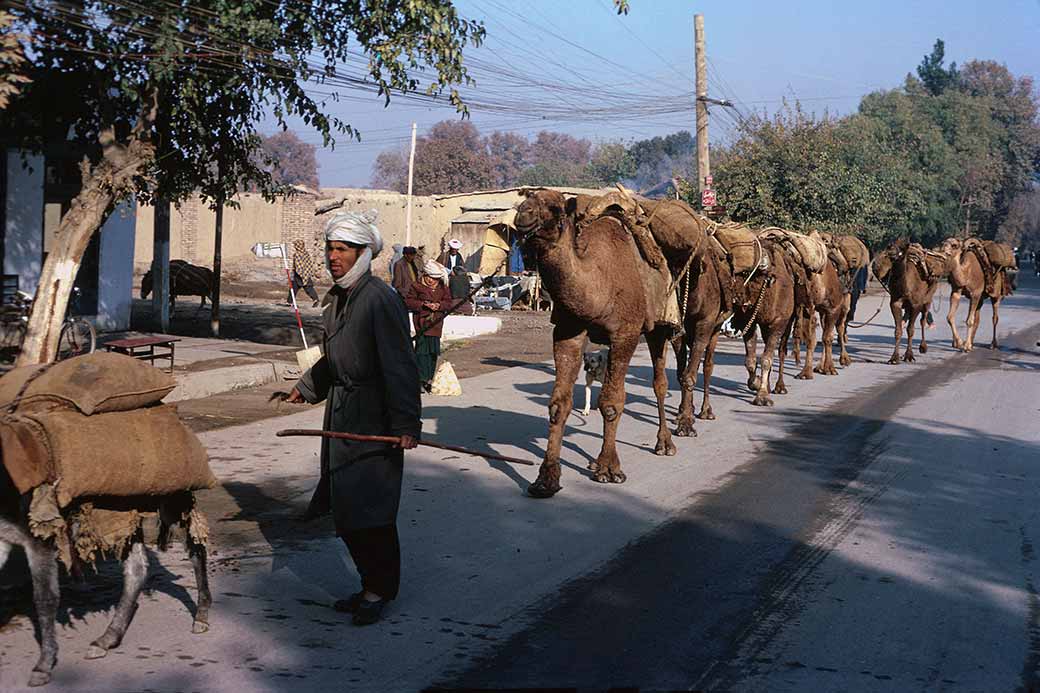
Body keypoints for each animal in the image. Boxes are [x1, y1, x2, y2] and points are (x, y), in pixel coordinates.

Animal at [515, 189, 678, 497]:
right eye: (526, 199)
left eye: (555, 208)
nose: (523, 213)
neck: (598, 283)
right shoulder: (567, 331)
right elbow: (558, 405)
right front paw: (546, 479)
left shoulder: (625, 333)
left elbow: (612, 402)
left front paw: (609, 469)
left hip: (659, 327)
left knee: (660, 382)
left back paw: (666, 443)